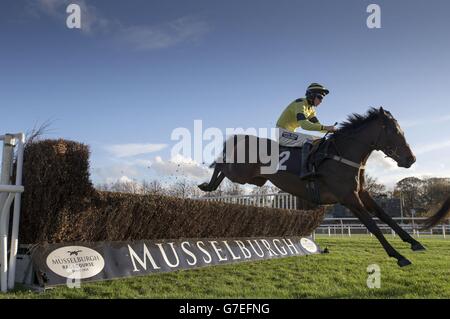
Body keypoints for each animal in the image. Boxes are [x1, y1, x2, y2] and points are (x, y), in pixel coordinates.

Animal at [199, 107, 430, 268]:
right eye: (394, 131)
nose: (411, 159)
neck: (343, 155)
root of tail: (244, 138)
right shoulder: (348, 197)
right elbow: (373, 225)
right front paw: (399, 256)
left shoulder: (361, 193)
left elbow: (385, 216)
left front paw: (414, 243)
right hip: (240, 173)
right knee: (220, 164)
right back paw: (206, 185)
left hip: (255, 179)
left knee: (223, 167)